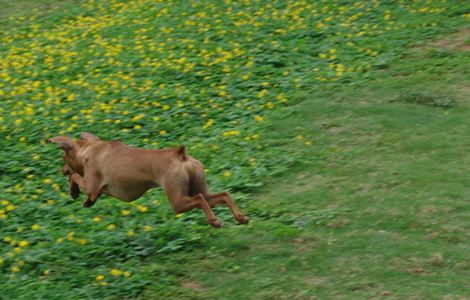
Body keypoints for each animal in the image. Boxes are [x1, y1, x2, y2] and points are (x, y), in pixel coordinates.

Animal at [48, 131, 250, 227]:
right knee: (223, 195)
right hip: (200, 188)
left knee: (200, 200)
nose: (61, 170)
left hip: (177, 200)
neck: (89, 149)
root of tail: (181, 155)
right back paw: (241, 217)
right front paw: (86, 201)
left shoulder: (91, 186)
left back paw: (214, 221)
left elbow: (76, 177)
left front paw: (74, 191)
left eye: (63, 159)